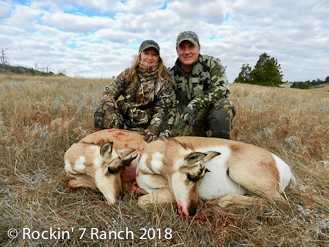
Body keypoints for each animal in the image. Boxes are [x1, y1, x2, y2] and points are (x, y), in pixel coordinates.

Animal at [134, 137, 294, 216]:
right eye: (193, 176)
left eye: (199, 177)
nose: (192, 212)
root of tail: (285, 167)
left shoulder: (170, 192)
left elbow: (141, 201)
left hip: (236, 172)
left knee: (281, 203)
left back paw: (220, 203)